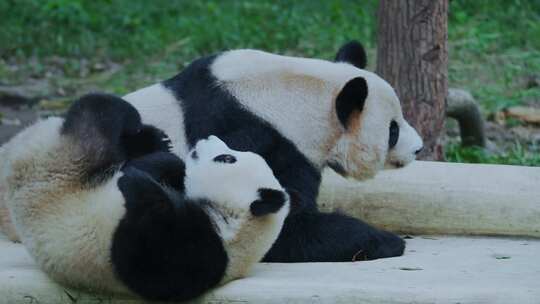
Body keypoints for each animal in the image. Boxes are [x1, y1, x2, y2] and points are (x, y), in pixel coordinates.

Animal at [0, 94, 292, 302]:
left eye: (227, 158)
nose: (208, 138)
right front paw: (161, 161)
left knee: (97, 117)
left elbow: (142, 248)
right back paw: (153, 137)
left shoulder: (194, 255)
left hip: (65, 159)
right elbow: (168, 168)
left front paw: (135, 180)